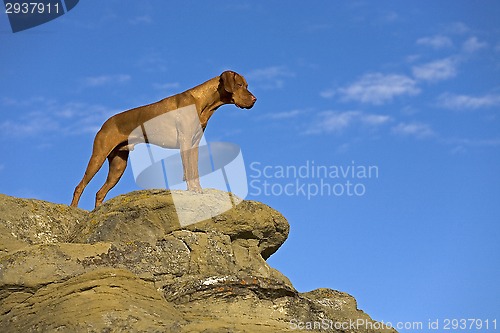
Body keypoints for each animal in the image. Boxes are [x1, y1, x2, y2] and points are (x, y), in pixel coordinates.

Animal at [70, 69, 256, 208]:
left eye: (246, 85)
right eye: (239, 85)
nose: (255, 99)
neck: (203, 103)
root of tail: (105, 123)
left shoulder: (194, 145)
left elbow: (194, 170)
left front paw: (198, 189)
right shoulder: (185, 142)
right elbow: (188, 170)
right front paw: (192, 190)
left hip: (118, 166)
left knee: (99, 192)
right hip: (98, 157)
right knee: (79, 186)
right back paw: (74, 209)